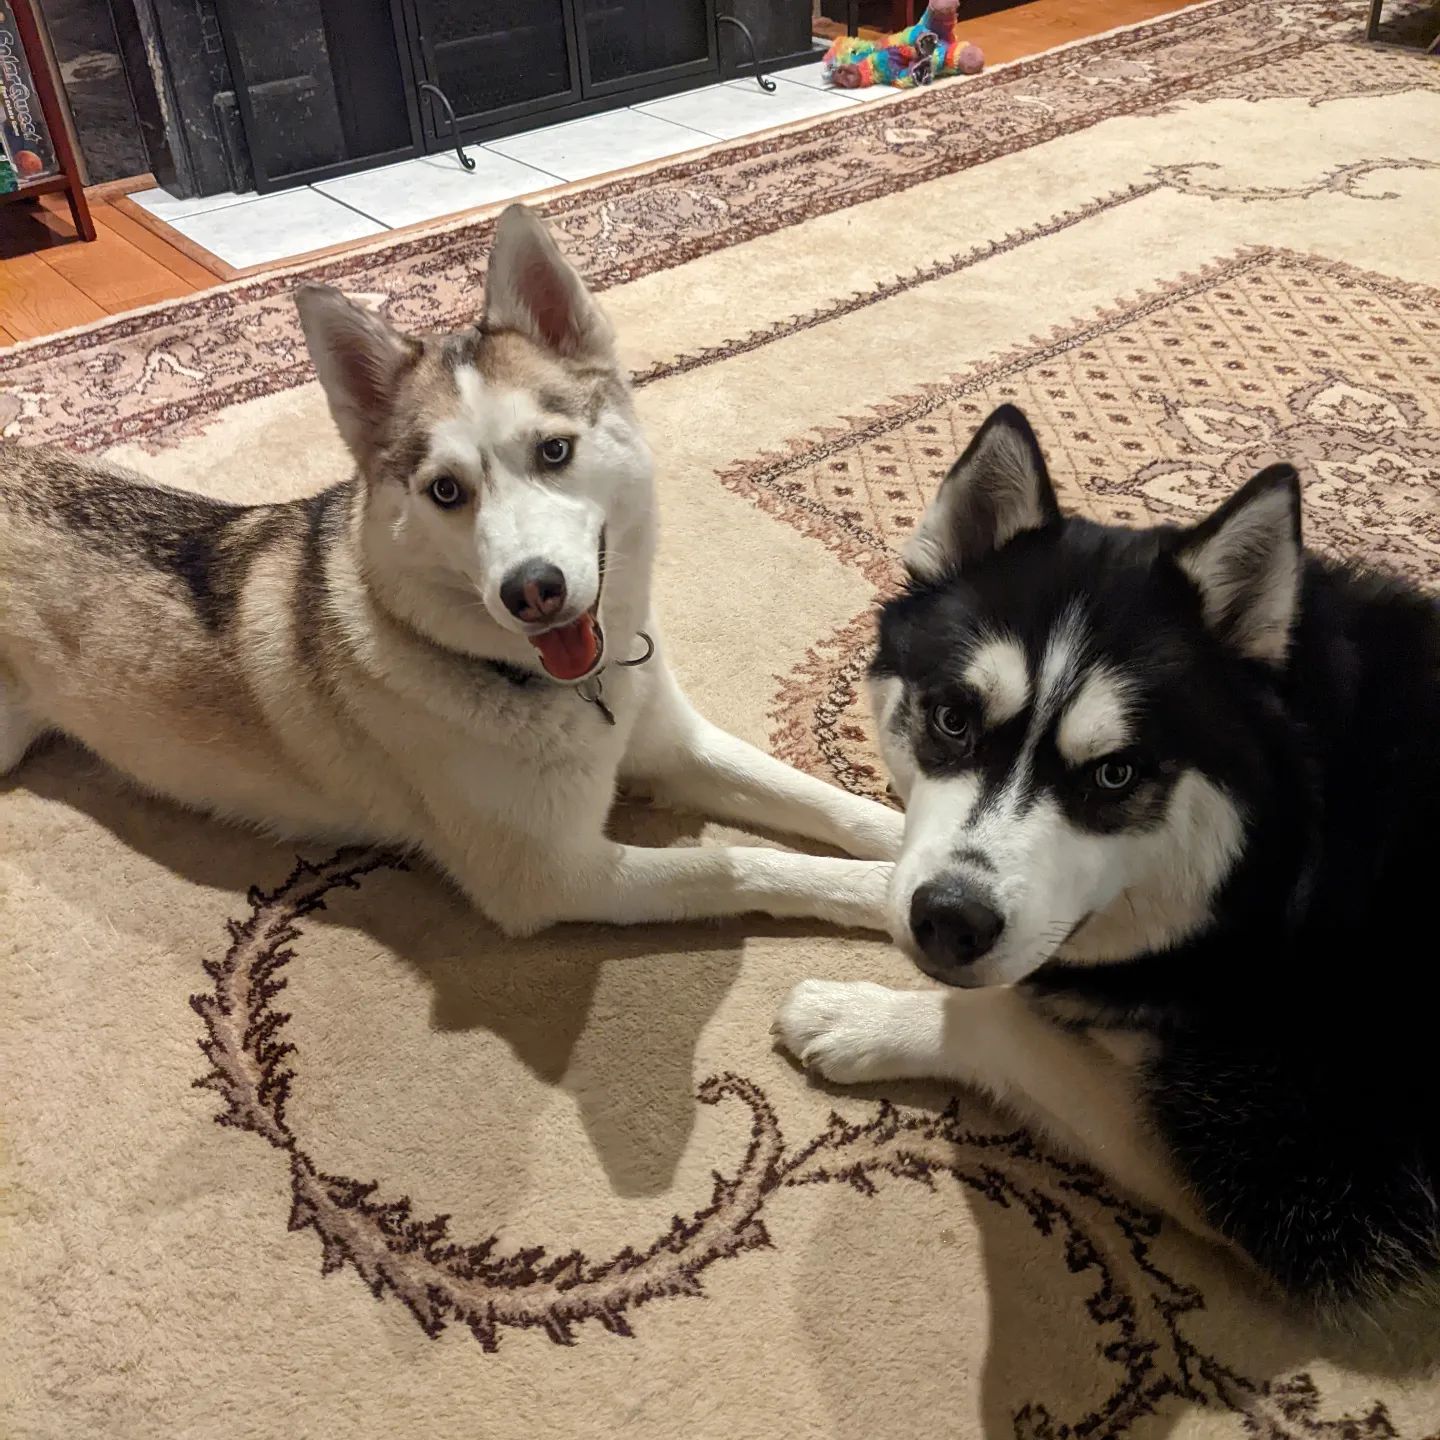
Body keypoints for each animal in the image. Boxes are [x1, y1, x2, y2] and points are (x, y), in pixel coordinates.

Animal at [0, 208, 898, 938]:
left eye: (555, 451)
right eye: (445, 490)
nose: (533, 590)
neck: (573, 688)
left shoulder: (678, 747)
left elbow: (818, 797)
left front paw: (906, 836)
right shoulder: (554, 877)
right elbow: (745, 865)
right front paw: (890, 894)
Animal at [783, 403, 1440, 1319]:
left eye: (1116, 774)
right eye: (952, 719)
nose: (950, 922)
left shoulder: (1291, 1175)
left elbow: (995, 1016)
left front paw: (859, 1016)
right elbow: (889, 861)